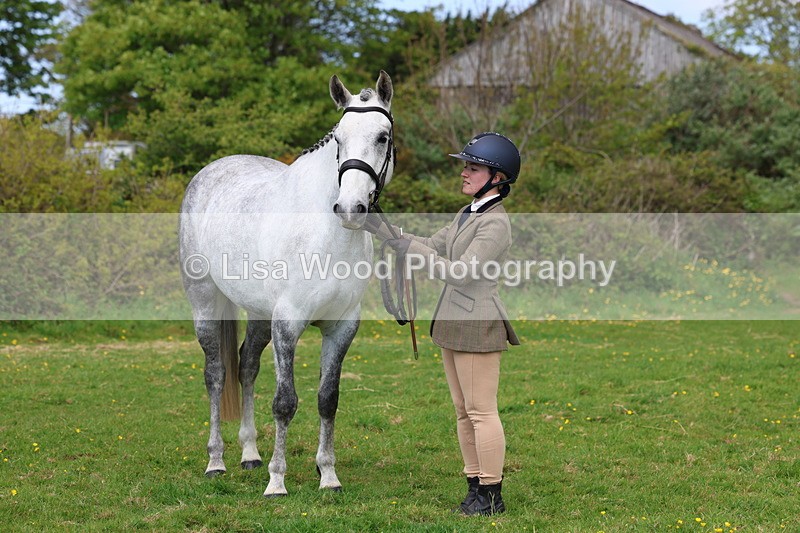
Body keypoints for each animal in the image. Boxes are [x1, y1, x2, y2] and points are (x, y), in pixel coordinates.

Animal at [179, 72, 395, 497]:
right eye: (339, 139)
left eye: (382, 137)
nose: (350, 209)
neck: (326, 235)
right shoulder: (288, 324)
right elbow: (284, 402)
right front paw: (277, 481)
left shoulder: (342, 326)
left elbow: (328, 398)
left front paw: (328, 476)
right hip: (206, 303)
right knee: (216, 374)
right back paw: (216, 461)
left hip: (260, 315)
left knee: (246, 367)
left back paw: (249, 455)